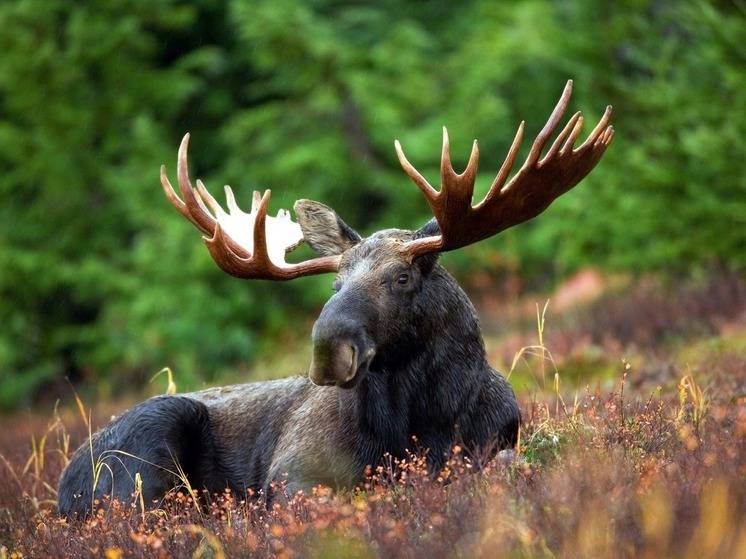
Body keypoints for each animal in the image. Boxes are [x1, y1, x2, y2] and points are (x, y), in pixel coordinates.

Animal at [58, 81, 612, 520]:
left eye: (402, 277)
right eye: (335, 284)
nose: (328, 350)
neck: (422, 422)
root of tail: (63, 489)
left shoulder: (496, 444)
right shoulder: (292, 474)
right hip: (146, 451)